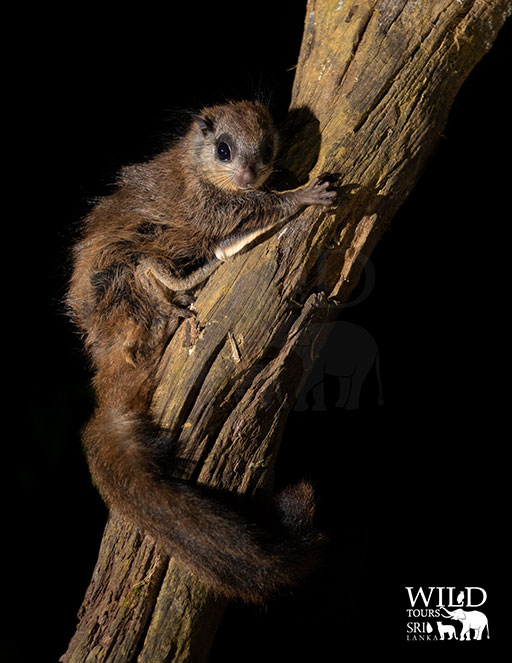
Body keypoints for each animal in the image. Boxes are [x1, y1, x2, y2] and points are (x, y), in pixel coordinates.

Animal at [67, 99, 337, 603]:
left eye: (265, 148)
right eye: (224, 150)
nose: (250, 175)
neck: (195, 167)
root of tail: (106, 358)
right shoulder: (208, 206)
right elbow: (254, 210)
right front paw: (302, 196)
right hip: (124, 279)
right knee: (149, 267)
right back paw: (190, 283)